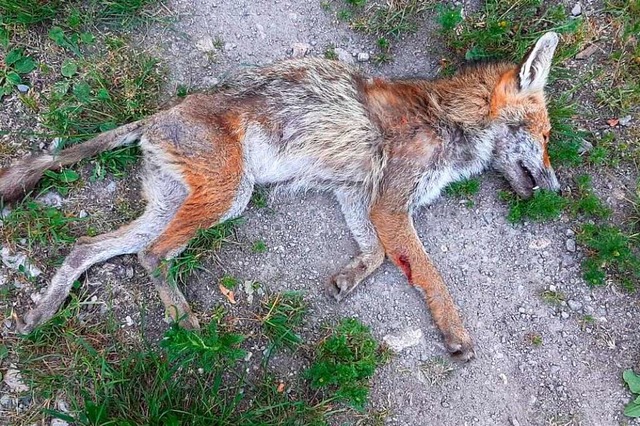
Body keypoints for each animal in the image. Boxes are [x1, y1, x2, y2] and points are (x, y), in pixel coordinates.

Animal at [0, 31, 560, 362]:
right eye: (547, 135)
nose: (559, 189)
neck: (450, 120)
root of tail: (158, 115)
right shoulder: (388, 203)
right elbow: (428, 275)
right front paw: (455, 334)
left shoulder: (356, 195)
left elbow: (377, 254)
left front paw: (348, 277)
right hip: (231, 195)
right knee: (151, 255)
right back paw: (183, 321)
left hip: (173, 205)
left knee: (87, 248)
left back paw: (40, 314)